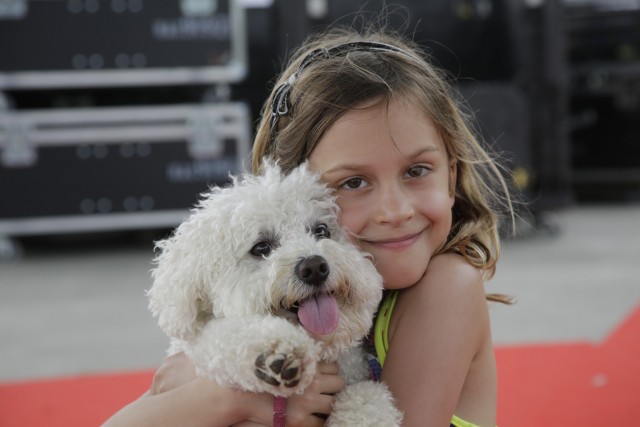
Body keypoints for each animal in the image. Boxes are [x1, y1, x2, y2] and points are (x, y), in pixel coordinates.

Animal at [148, 162, 402, 426]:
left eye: (321, 230)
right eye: (261, 247)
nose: (314, 267)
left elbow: (365, 395)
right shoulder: (201, 344)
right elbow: (221, 337)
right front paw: (274, 352)